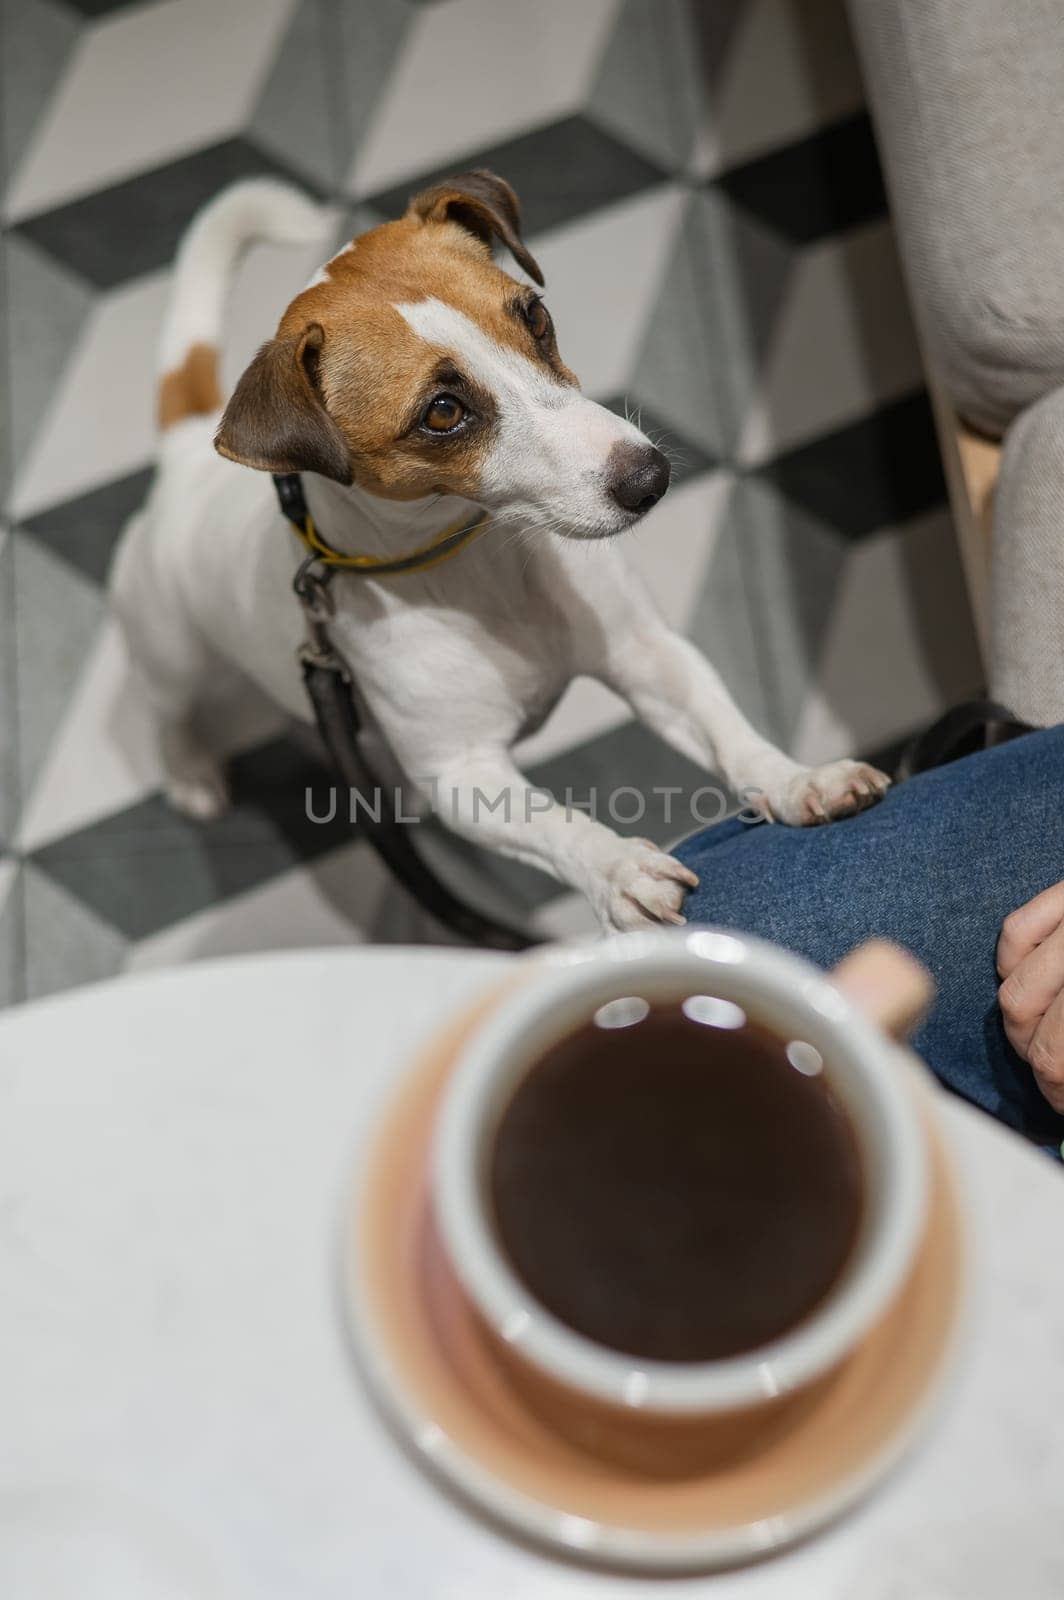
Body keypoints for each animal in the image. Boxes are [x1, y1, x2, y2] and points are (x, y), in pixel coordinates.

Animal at [109, 170, 889, 934]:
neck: (470, 561)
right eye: (443, 413)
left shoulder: (646, 654)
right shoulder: (463, 774)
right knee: (165, 708)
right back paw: (191, 773)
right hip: (173, 652)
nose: (651, 478)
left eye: (535, 318)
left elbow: (728, 730)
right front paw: (618, 870)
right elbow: (551, 824)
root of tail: (190, 450)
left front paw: (798, 780)